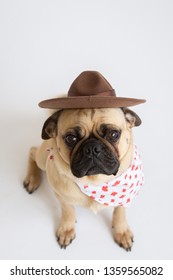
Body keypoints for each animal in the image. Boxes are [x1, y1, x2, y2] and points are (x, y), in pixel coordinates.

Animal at [23, 106, 144, 250]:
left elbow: (120, 212)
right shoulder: (62, 198)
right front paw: (67, 229)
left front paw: (122, 232)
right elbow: (68, 212)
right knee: (32, 151)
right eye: (71, 139)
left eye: (113, 134)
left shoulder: (124, 197)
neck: (95, 181)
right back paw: (32, 179)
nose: (92, 148)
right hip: (42, 159)